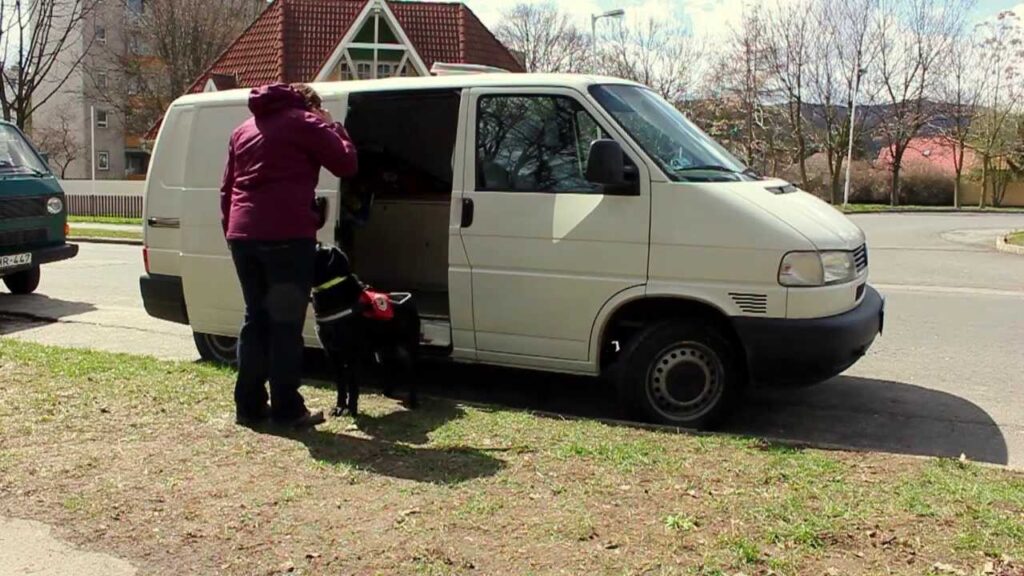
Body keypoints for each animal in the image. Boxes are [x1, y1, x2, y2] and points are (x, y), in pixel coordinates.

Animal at [313, 240, 421, 412]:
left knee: (412, 373)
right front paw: (339, 407)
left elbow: (352, 384)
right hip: (383, 350)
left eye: (316, 247)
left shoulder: (352, 353)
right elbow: (341, 384)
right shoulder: (333, 354)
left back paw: (413, 401)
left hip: (408, 348)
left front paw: (351, 409)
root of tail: (409, 300)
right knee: (390, 368)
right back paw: (387, 391)